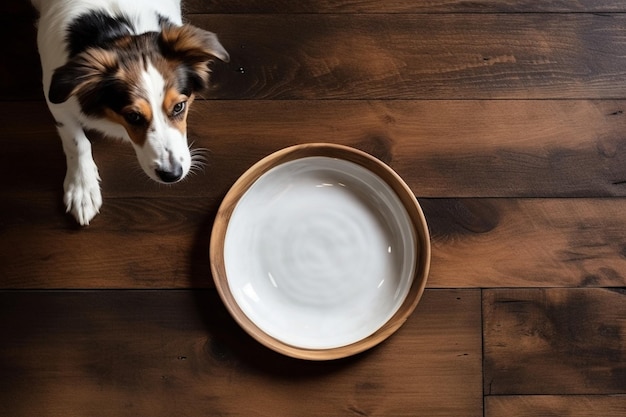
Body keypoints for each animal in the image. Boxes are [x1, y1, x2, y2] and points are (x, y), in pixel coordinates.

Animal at [30, 0, 228, 224]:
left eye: (179, 106)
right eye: (133, 116)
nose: (172, 175)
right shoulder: (56, 100)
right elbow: (77, 142)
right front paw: (82, 188)